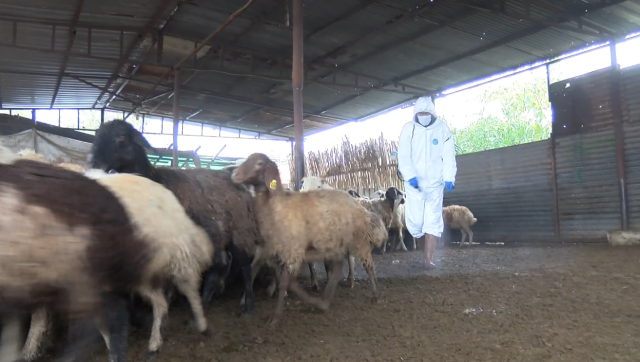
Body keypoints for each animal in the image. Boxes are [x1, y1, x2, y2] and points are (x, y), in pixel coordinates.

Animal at [0, 153, 211, 362]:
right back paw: (154, 342)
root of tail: (165, 193)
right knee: (160, 302)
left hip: (175, 254)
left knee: (189, 286)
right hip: (141, 270)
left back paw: (200, 322)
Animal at [87, 119, 262, 316]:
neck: (155, 178)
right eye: (97, 134)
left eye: (121, 137)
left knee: (245, 267)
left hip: (240, 233)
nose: (92, 161)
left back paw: (247, 306)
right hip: (219, 235)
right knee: (220, 266)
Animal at [232, 153, 388, 326]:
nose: (234, 174)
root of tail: (361, 208)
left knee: (368, 266)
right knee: (338, 270)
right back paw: (325, 300)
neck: (275, 205)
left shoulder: (293, 252)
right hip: (334, 245)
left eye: (259, 163)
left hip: (358, 242)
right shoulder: (280, 253)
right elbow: (286, 280)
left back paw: (376, 295)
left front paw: (275, 317)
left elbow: (286, 282)